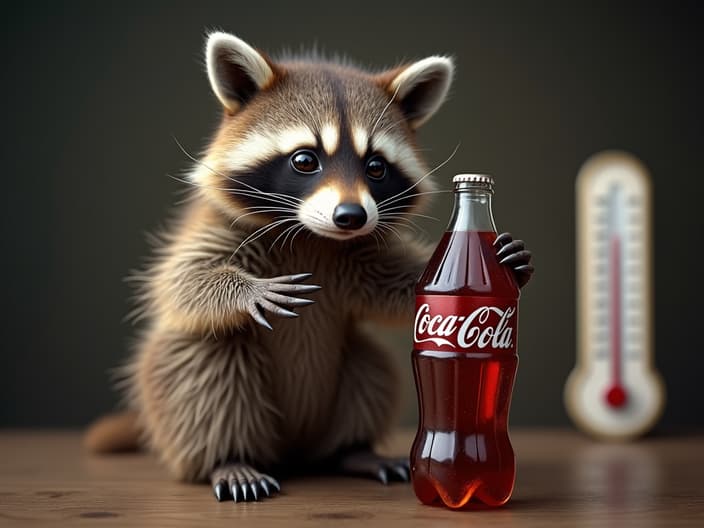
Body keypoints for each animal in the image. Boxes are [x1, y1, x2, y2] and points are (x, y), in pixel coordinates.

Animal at [84, 31, 532, 502]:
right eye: (304, 160)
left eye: (376, 166)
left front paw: (507, 267)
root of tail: (295, 449)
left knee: (370, 368)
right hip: (185, 391)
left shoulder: (355, 257)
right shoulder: (215, 228)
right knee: (205, 367)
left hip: (346, 381)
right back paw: (230, 459)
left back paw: (353, 450)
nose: (352, 216)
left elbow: (397, 287)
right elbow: (181, 282)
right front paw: (247, 289)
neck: (313, 237)